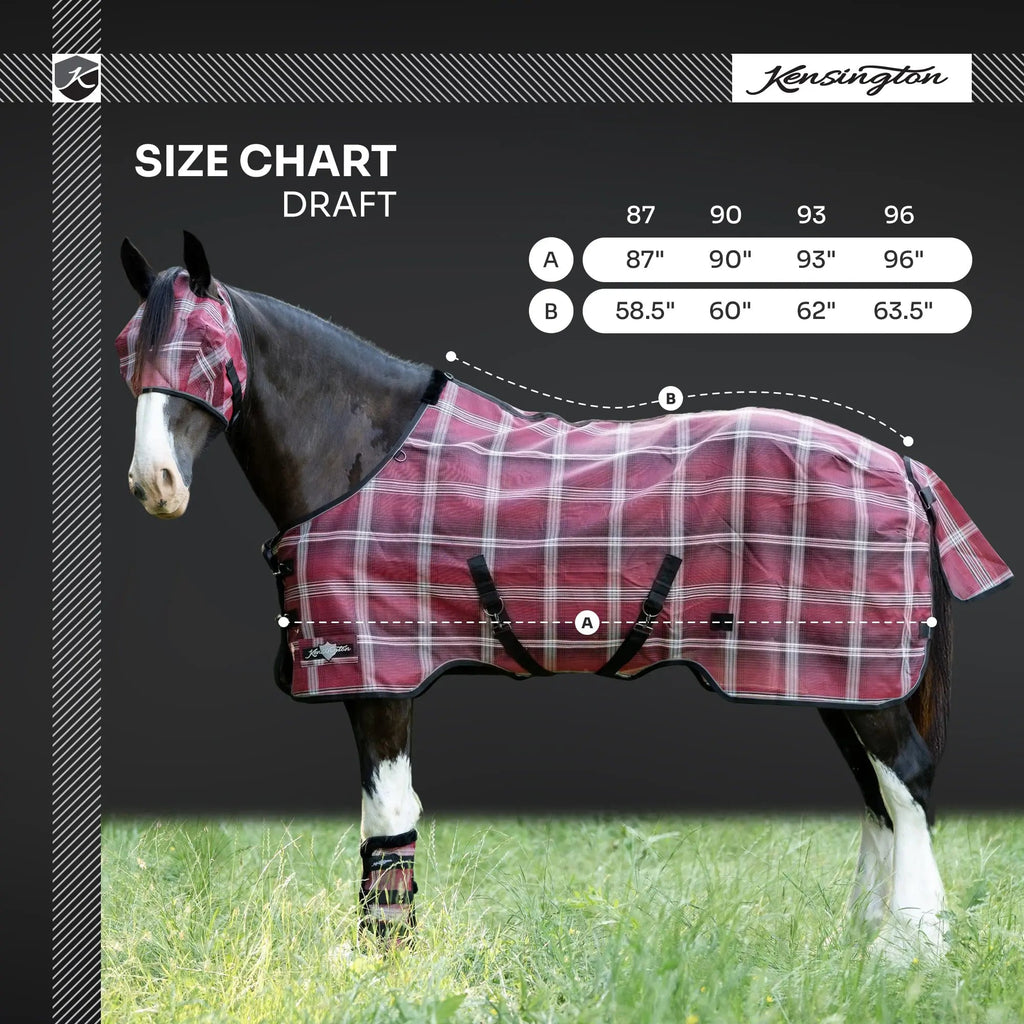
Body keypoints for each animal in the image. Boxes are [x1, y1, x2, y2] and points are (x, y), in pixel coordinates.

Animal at [115, 232, 1011, 957]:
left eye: (205, 350)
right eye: (129, 350)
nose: (154, 483)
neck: (363, 454)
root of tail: (903, 466)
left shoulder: (381, 677)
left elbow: (389, 813)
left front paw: (385, 955)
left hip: (858, 675)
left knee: (906, 781)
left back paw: (909, 950)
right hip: (834, 679)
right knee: (878, 795)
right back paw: (864, 939)